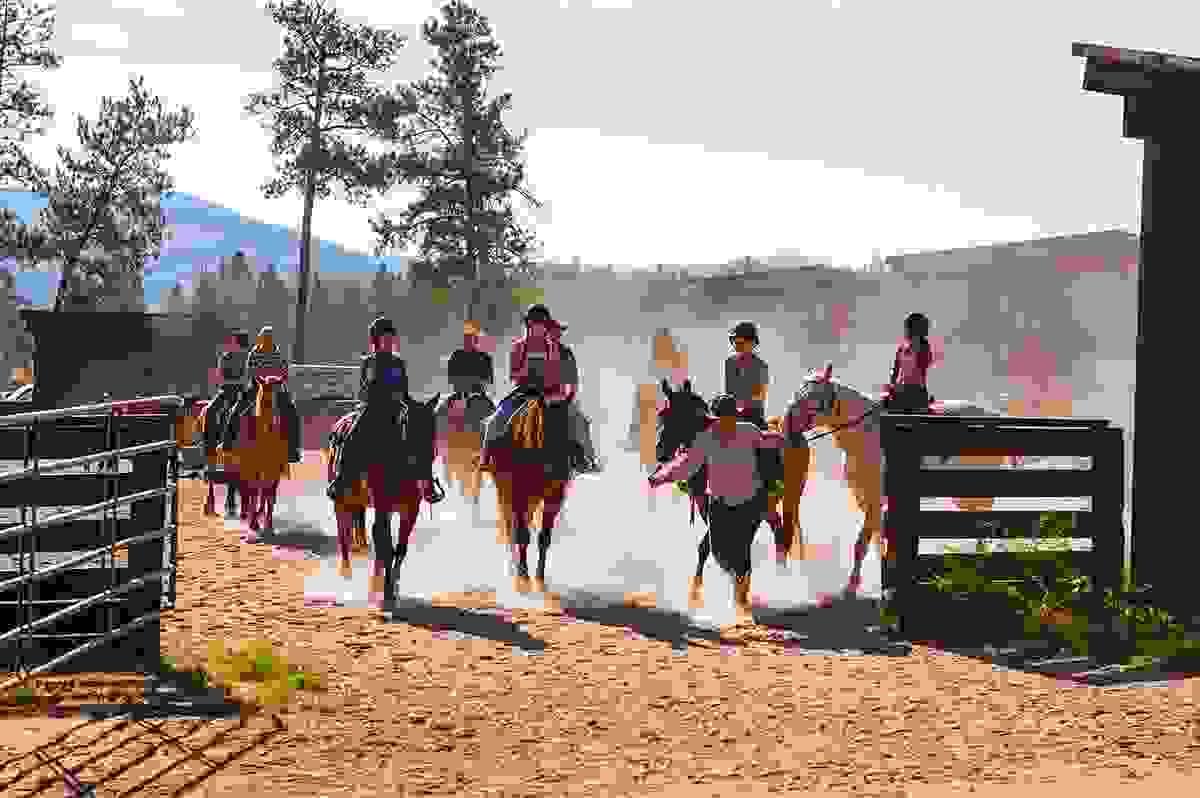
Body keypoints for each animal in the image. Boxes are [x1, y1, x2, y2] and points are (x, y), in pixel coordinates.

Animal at [326, 391, 444, 604]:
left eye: (432, 427)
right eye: (409, 426)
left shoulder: (410, 511)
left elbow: (400, 548)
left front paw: (392, 588)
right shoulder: (383, 506)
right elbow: (386, 546)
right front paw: (386, 592)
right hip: (340, 501)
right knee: (344, 535)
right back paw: (346, 575)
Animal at [477, 388, 571, 595]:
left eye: (568, 428)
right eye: (547, 428)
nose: (558, 469)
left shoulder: (554, 496)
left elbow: (544, 537)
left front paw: (540, 580)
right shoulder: (517, 493)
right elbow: (520, 534)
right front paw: (523, 579)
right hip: (506, 492)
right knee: (509, 526)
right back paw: (515, 569)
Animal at [657, 376, 816, 607]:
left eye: (679, 417)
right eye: (662, 414)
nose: (660, 452)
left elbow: (719, 546)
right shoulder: (708, 509)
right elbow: (708, 547)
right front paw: (696, 594)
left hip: (790, 497)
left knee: (783, 534)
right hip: (770, 506)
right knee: (778, 531)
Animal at [787, 364, 1032, 595]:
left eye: (811, 397)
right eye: (798, 393)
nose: (789, 427)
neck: (868, 436)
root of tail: (994, 417)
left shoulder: (876, 498)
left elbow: (864, 543)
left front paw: (855, 585)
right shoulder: (865, 499)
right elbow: (875, 540)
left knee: (983, 521)